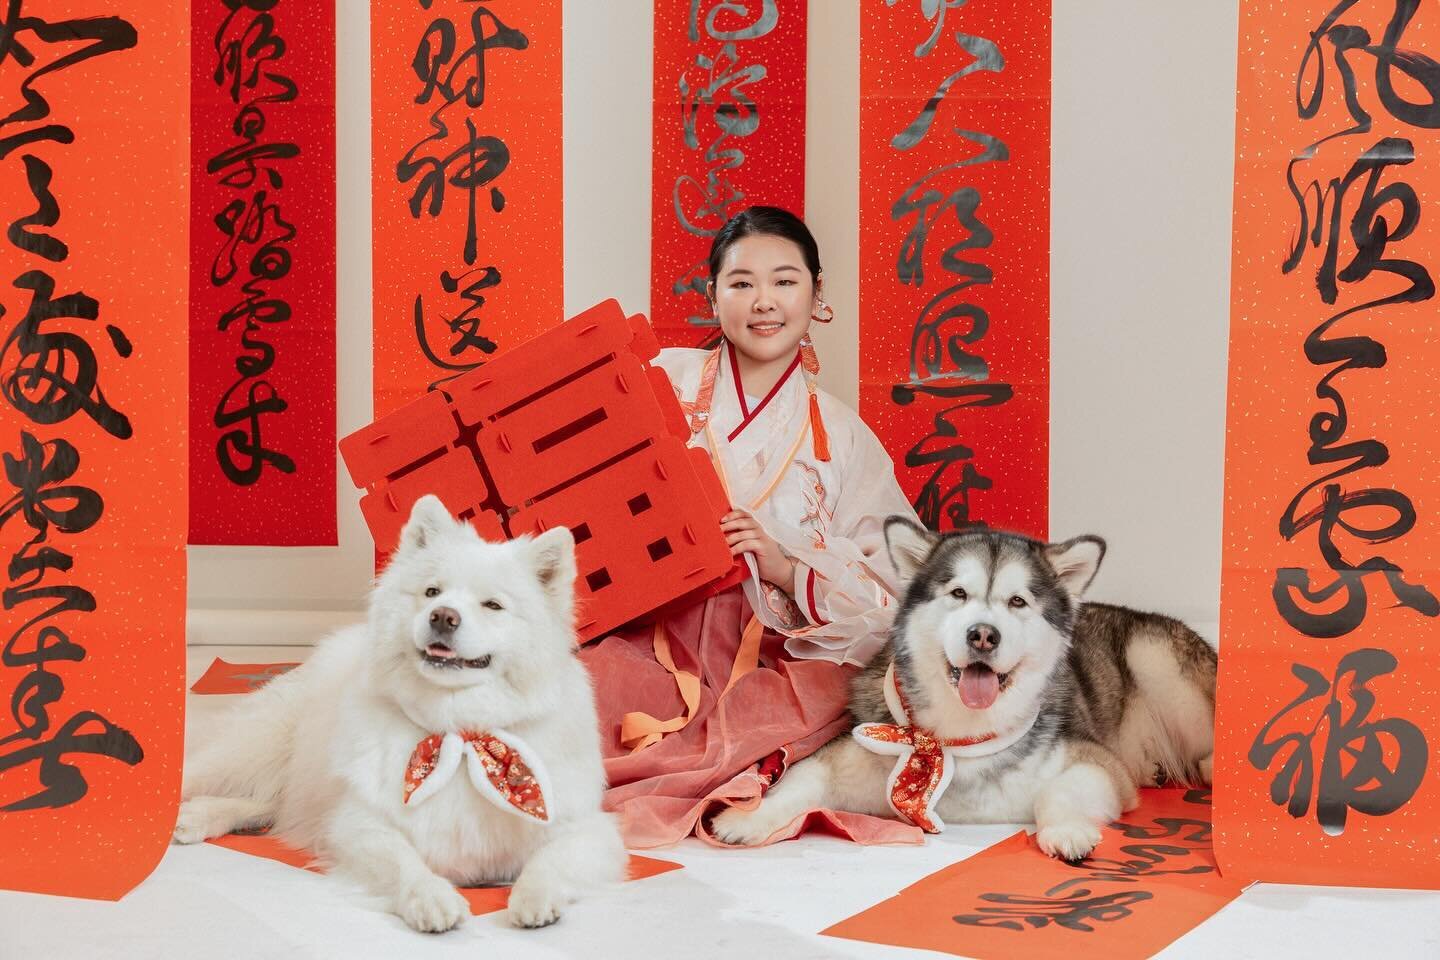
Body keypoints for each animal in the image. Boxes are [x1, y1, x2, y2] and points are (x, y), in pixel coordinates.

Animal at [174, 495, 624, 932]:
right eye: (431, 592)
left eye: (493, 605)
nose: (443, 616)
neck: (457, 731)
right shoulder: (359, 823)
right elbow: (403, 862)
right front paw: (431, 899)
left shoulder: (585, 828)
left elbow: (551, 861)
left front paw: (535, 898)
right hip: (255, 749)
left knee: (271, 802)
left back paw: (198, 817)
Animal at [711, 521, 1215, 857]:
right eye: (958, 594)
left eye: (1017, 602)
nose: (983, 635)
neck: (954, 739)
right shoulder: (853, 754)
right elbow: (802, 778)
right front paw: (747, 816)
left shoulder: (1098, 763)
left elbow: (1058, 792)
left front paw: (1066, 832)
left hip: (1156, 659)